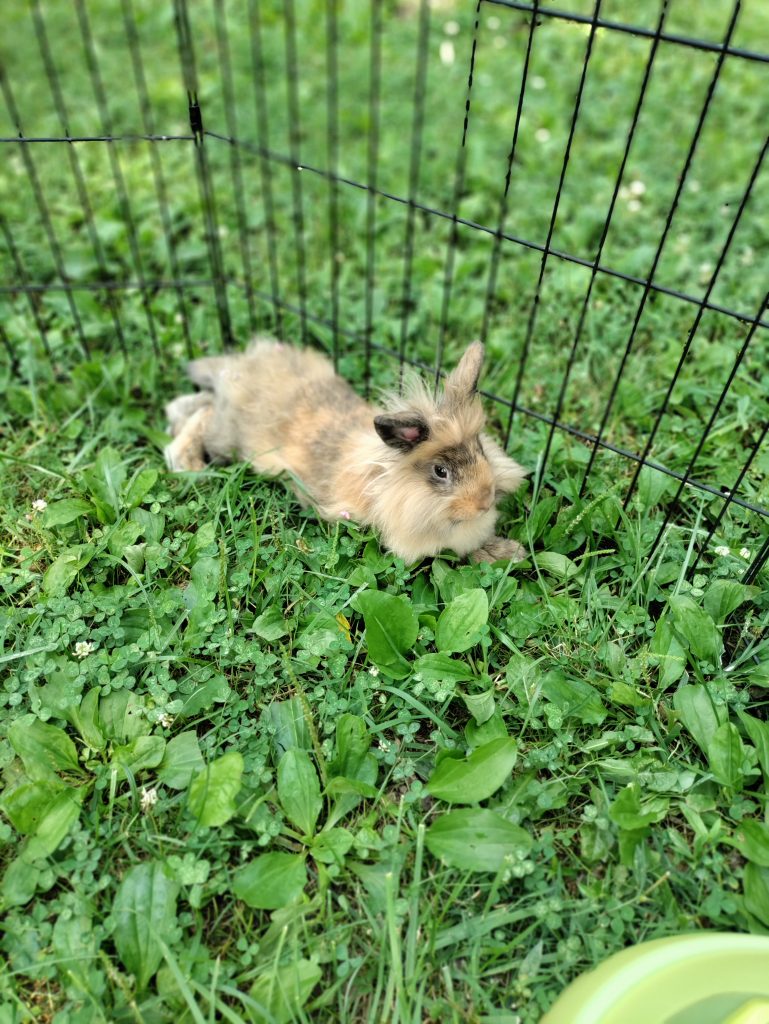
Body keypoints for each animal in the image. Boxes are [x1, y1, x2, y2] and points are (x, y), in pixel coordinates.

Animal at [165, 338, 528, 564]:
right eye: (441, 472)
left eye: (480, 449)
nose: (484, 502)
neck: (390, 478)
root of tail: (244, 365)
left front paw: (509, 553)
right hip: (227, 439)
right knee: (205, 414)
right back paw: (185, 461)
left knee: (202, 402)